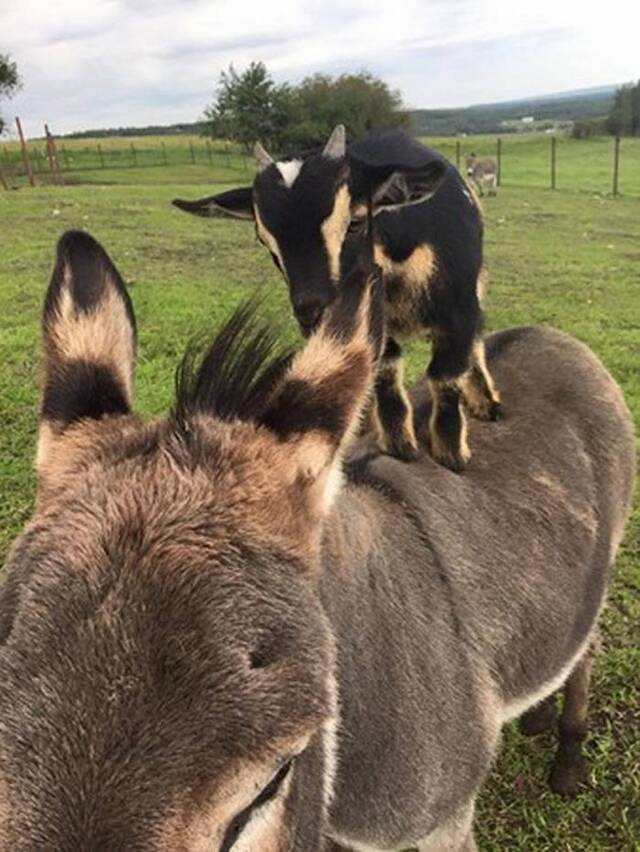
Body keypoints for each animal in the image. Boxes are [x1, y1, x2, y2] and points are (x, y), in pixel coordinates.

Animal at [174, 127, 500, 472]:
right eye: (264, 240)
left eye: (355, 222)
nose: (314, 316)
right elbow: (385, 369)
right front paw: (398, 442)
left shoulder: (460, 312)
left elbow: (446, 375)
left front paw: (451, 453)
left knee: (476, 341)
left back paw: (485, 401)